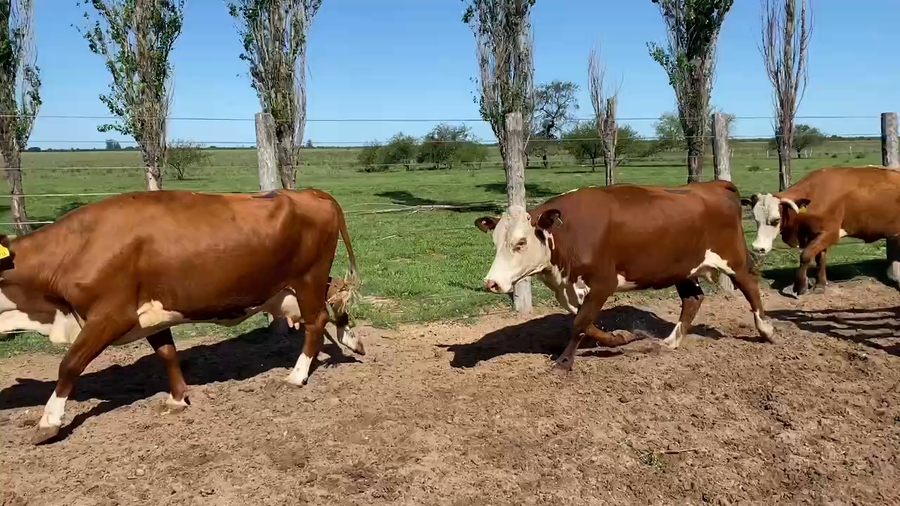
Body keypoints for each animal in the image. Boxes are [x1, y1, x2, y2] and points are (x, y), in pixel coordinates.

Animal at [0, 188, 363, 444]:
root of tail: (308, 192)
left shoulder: (111, 316)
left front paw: (48, 421)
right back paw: (351, 339)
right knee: (333, 301)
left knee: (316, 321)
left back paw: (296, 376)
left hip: (307, 279)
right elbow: (167, 353)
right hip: (304, 285)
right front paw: (177, 399)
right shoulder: (150, 314)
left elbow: (70, 364)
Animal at [474, 180, 776, 372]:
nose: (492, 283)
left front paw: (564, 362)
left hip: (733, 259)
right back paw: (671, 341)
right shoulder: (571, 288)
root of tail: (714, 184)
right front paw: (622, 338)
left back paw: (766, 330)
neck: (566, 234)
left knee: (750, 285)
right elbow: (585, 322)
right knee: (693, 299)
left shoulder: (603, 283)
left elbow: (580, 322)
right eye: (495, 242)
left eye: (520, 243)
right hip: (682, 268)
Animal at [743, 165, 900, 297]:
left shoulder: (830, 233)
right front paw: (820, 285)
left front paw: (800, 287)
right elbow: (820, 259)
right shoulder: (817, 234)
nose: (758, 247)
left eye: (776, 220)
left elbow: (805, 256)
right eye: (755, 218)